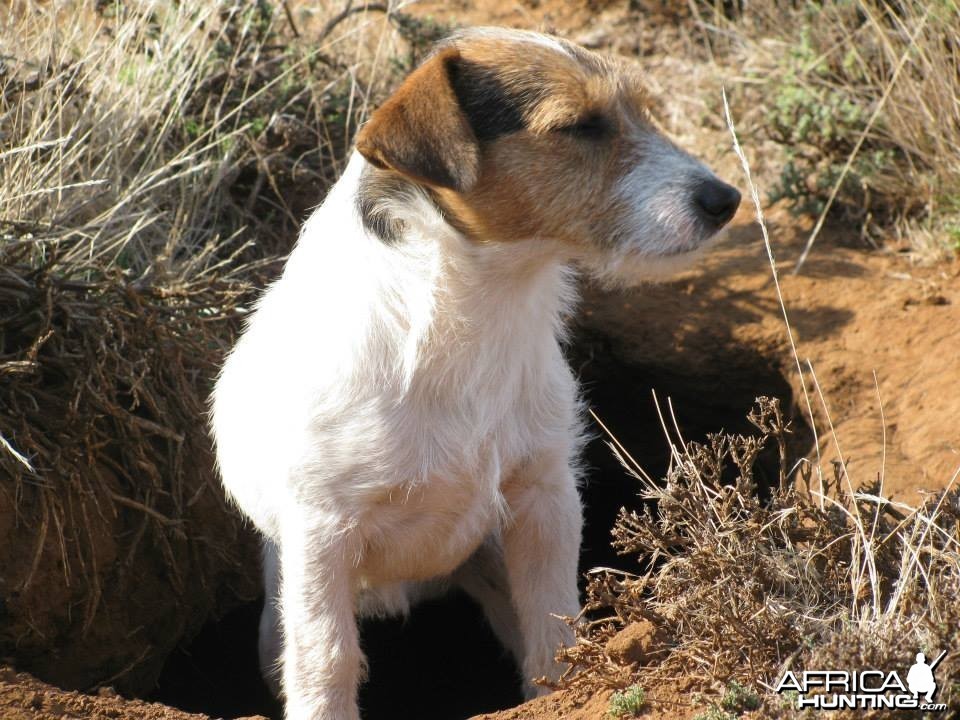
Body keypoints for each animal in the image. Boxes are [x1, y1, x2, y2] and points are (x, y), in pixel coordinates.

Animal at [208, 26, 736, 720]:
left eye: (644, 112)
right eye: (579, 126)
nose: (727, 199)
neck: (481, 307)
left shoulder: (544, 497)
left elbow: (554, 625)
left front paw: (561, 693)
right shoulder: (322, 533)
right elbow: (327, 659)